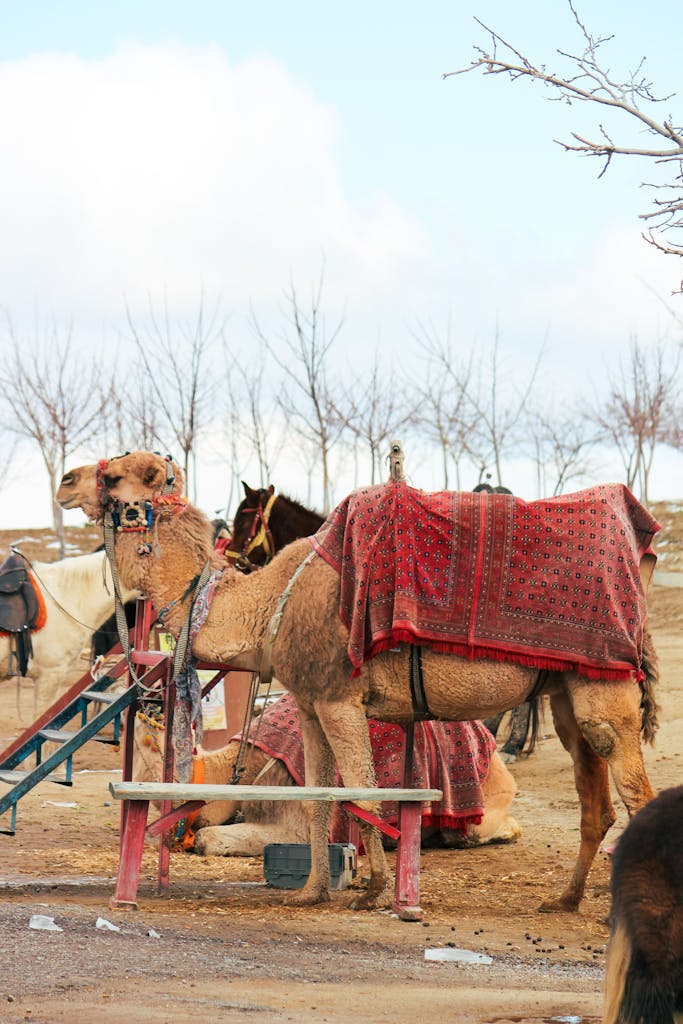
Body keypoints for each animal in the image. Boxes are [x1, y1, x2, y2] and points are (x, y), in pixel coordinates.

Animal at [57, 451, 660, 913]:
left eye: (118, 475)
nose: (64, 479)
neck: (268, 605)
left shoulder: (339, 697)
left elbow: (361, 788)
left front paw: (373, 891)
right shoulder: (309, 703)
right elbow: (322, 796)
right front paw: (313, 891)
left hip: (605, 689)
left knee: (634, 791)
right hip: (567, 693)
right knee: (597, 801)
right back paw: (562, 900)